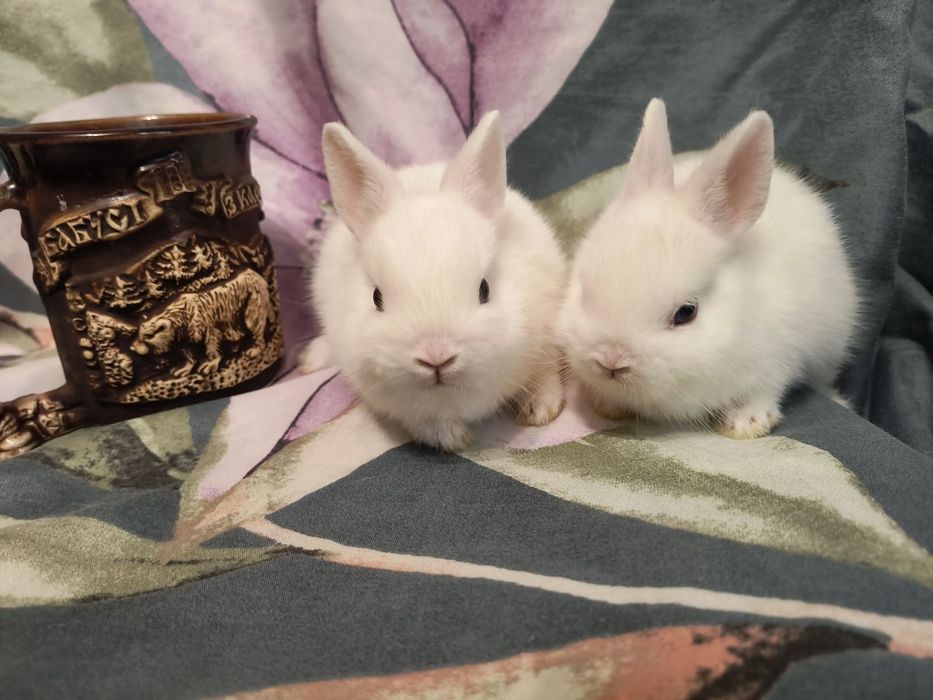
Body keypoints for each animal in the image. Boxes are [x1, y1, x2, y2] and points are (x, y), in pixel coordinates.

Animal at [299, 112, 567, 450]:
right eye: (376, 298)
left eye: (485, 289)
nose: (436, 357)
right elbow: (427, 424)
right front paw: (454, 438)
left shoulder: (545, 338)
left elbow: (545, 375)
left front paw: (540, 410)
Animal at [557, 98, 858, 439]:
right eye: (584, 294)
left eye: (686, 313)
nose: (611, 359)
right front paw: (608, 405)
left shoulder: (775, 359)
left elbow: (764, 391)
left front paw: (747, 423)